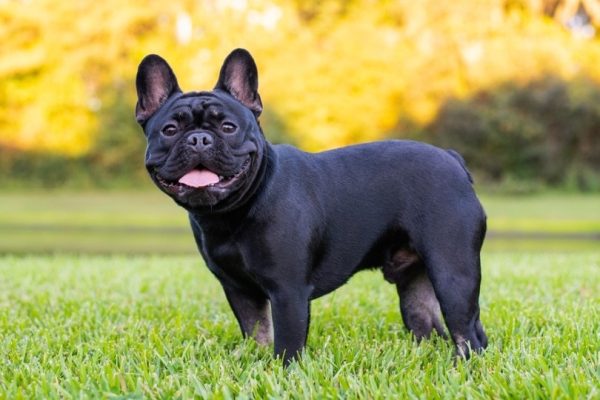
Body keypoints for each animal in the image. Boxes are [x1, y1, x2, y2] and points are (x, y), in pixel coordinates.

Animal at [135, 48, 488, 364]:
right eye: (169, 130)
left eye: (228, 127)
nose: (199, 139)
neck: (233, 211)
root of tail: (453, 160)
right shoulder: (239, 289)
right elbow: (257, 332)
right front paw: (255, 359)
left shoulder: (288, 291)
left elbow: (287, 343)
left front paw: (283, 372)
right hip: (415, 283)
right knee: (431, 324)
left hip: (452, 272)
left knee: (466, 332)